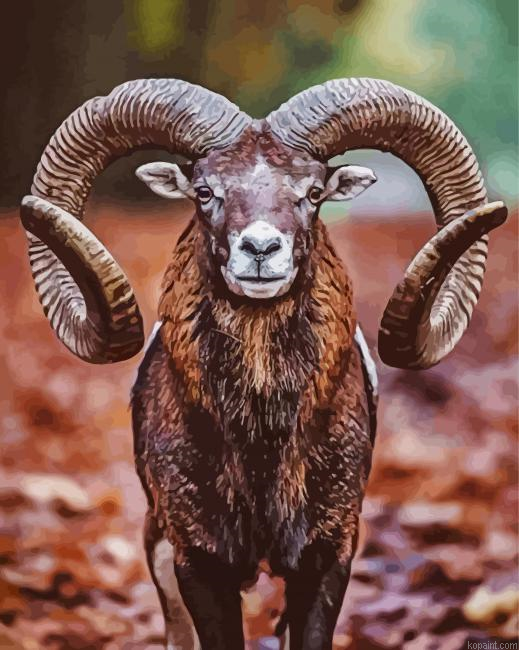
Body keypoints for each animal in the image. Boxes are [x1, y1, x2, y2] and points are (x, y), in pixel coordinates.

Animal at [20, 78, 507, 649]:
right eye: (204, 191)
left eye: (313, 193)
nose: (259, 248)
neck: (261, 447)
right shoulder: (199, 564)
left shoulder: (325, 558)